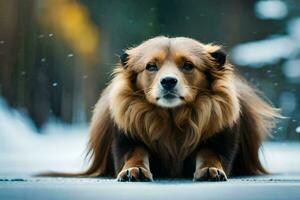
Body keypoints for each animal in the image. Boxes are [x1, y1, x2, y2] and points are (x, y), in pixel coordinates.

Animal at [45, 36, 280, 181]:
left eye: (187, 65)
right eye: (151, 66)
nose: (168, 81)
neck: (172, 118)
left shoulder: (221, 141)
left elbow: (209, 153)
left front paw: (210, 169)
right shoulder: (125, 141)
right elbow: (136, 153)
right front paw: (134, 170)